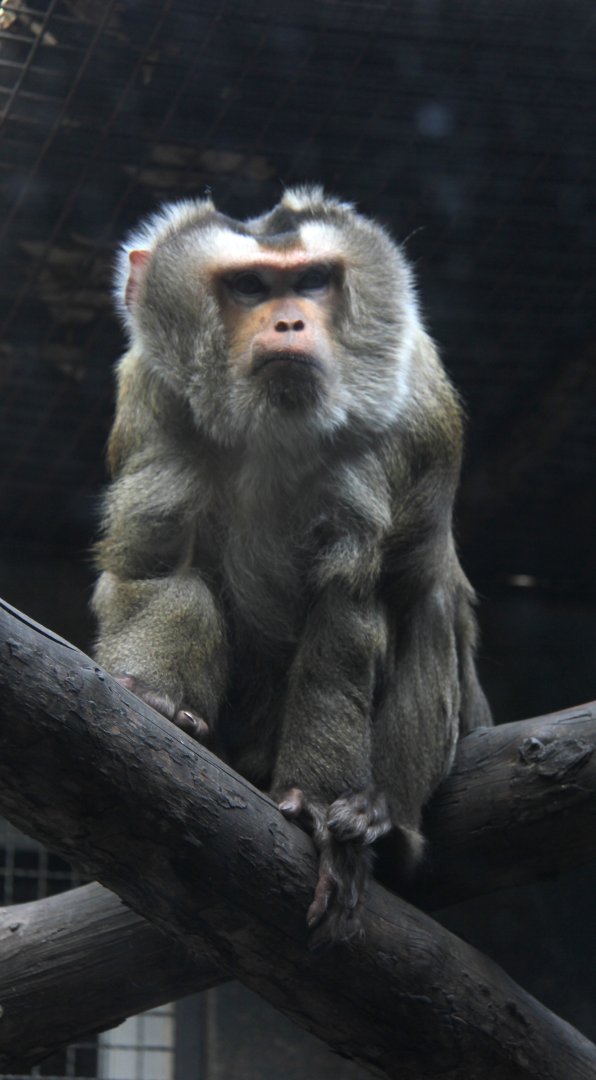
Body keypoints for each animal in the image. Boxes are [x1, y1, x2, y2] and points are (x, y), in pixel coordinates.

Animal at [92, 185, 491, 944]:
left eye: (311, 281)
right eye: (250, 286)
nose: (288, 321)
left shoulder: (411, 416)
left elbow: (350, 610)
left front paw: (323, 803)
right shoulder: (152, 397)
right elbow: (162, 568)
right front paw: (154, 699)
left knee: (425, 600)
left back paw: (383, 817)